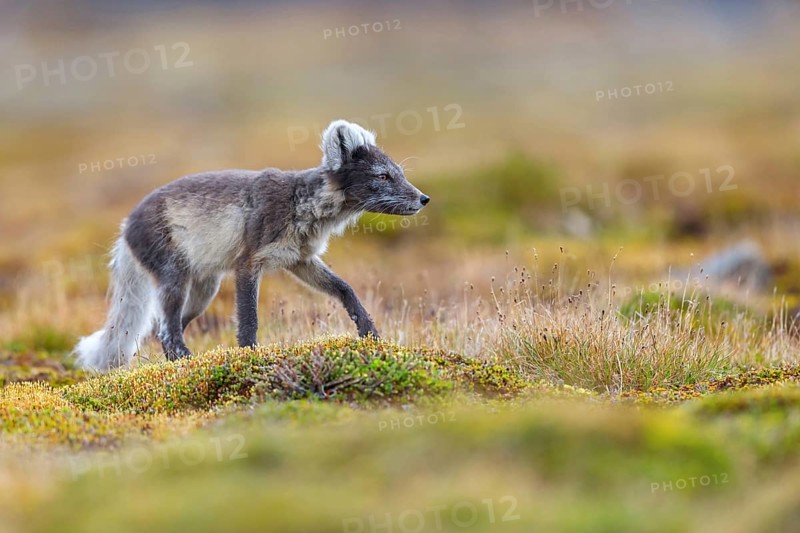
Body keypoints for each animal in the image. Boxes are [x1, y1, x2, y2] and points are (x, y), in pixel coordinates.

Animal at [74, 120, 430, 371]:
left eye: (399, 173)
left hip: (205, 291)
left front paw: (370, 333)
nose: (424, 198)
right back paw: (186, 363)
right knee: (167, 331)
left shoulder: (301, 261)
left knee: (160, 329)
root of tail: (124, 227)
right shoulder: (247, 264)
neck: (301, 205)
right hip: (175, 280)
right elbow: (249, 320)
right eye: (383, 176)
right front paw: (249, 357)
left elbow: (346, 290)